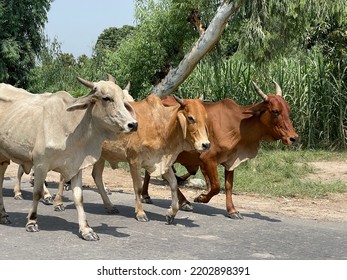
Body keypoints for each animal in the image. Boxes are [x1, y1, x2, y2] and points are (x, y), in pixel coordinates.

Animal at [0, 75, 138, 241]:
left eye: (123, 99)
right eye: (106, 98)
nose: (133, 124)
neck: (71, 126)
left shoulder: (76, 165)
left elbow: (79, 197)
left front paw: (86, 230)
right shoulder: (40, 164)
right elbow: (37, 192)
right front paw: (32, 222)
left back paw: (3, 215)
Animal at [141, 81, 300, 219]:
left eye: (288, 109)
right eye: (275, 111)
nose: (294, 138)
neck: (240, 126)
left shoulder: (231, 160)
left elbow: (228, 186)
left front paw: (232, 210)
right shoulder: (207, 158)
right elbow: (216, 187)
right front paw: (201, 197)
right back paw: (155, 197)